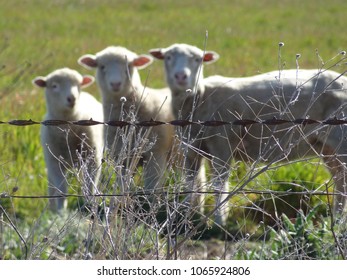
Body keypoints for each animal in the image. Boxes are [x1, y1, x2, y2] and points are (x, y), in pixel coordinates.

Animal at [33, 68, 104, 211]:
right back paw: (51, 208)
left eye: (78, 85)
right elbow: (61, 190)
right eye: (54, 86)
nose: (72, 98)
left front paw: (89, 206)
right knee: (51, 185)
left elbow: (90, 187)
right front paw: (61, 211)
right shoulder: (54, 161)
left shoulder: (93, 158)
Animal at [78, 45, 177, 203]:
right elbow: (123, 185)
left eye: (129, 66)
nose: (115, 84)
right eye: (102, 66)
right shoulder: (122, 157)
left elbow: (151, 187)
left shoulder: (156, 154)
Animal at [151, 42, 347, 224]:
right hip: (328, 148)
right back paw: (336, 219)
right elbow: (192, 182)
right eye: (168, 57)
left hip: (341, 140)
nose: (181, 76)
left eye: (197, 59)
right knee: (340, 181)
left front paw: (219, 221)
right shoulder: (191, 149)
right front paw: (191, 217)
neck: (200, 98)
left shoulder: (222, 145)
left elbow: (219, 184)